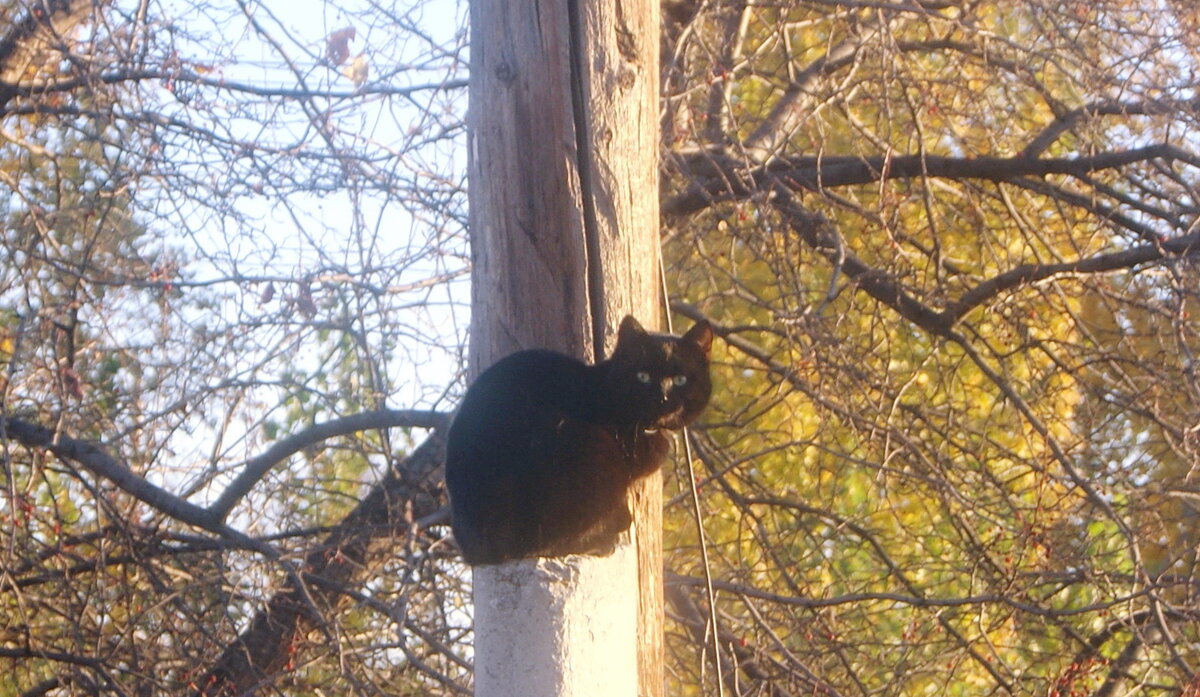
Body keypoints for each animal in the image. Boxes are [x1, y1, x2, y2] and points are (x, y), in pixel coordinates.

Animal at [448, 314, 710, 566]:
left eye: (680, 380)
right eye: (643, 376)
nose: (662, 397)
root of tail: (476, 553)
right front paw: (619, 522)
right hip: (586, 446)